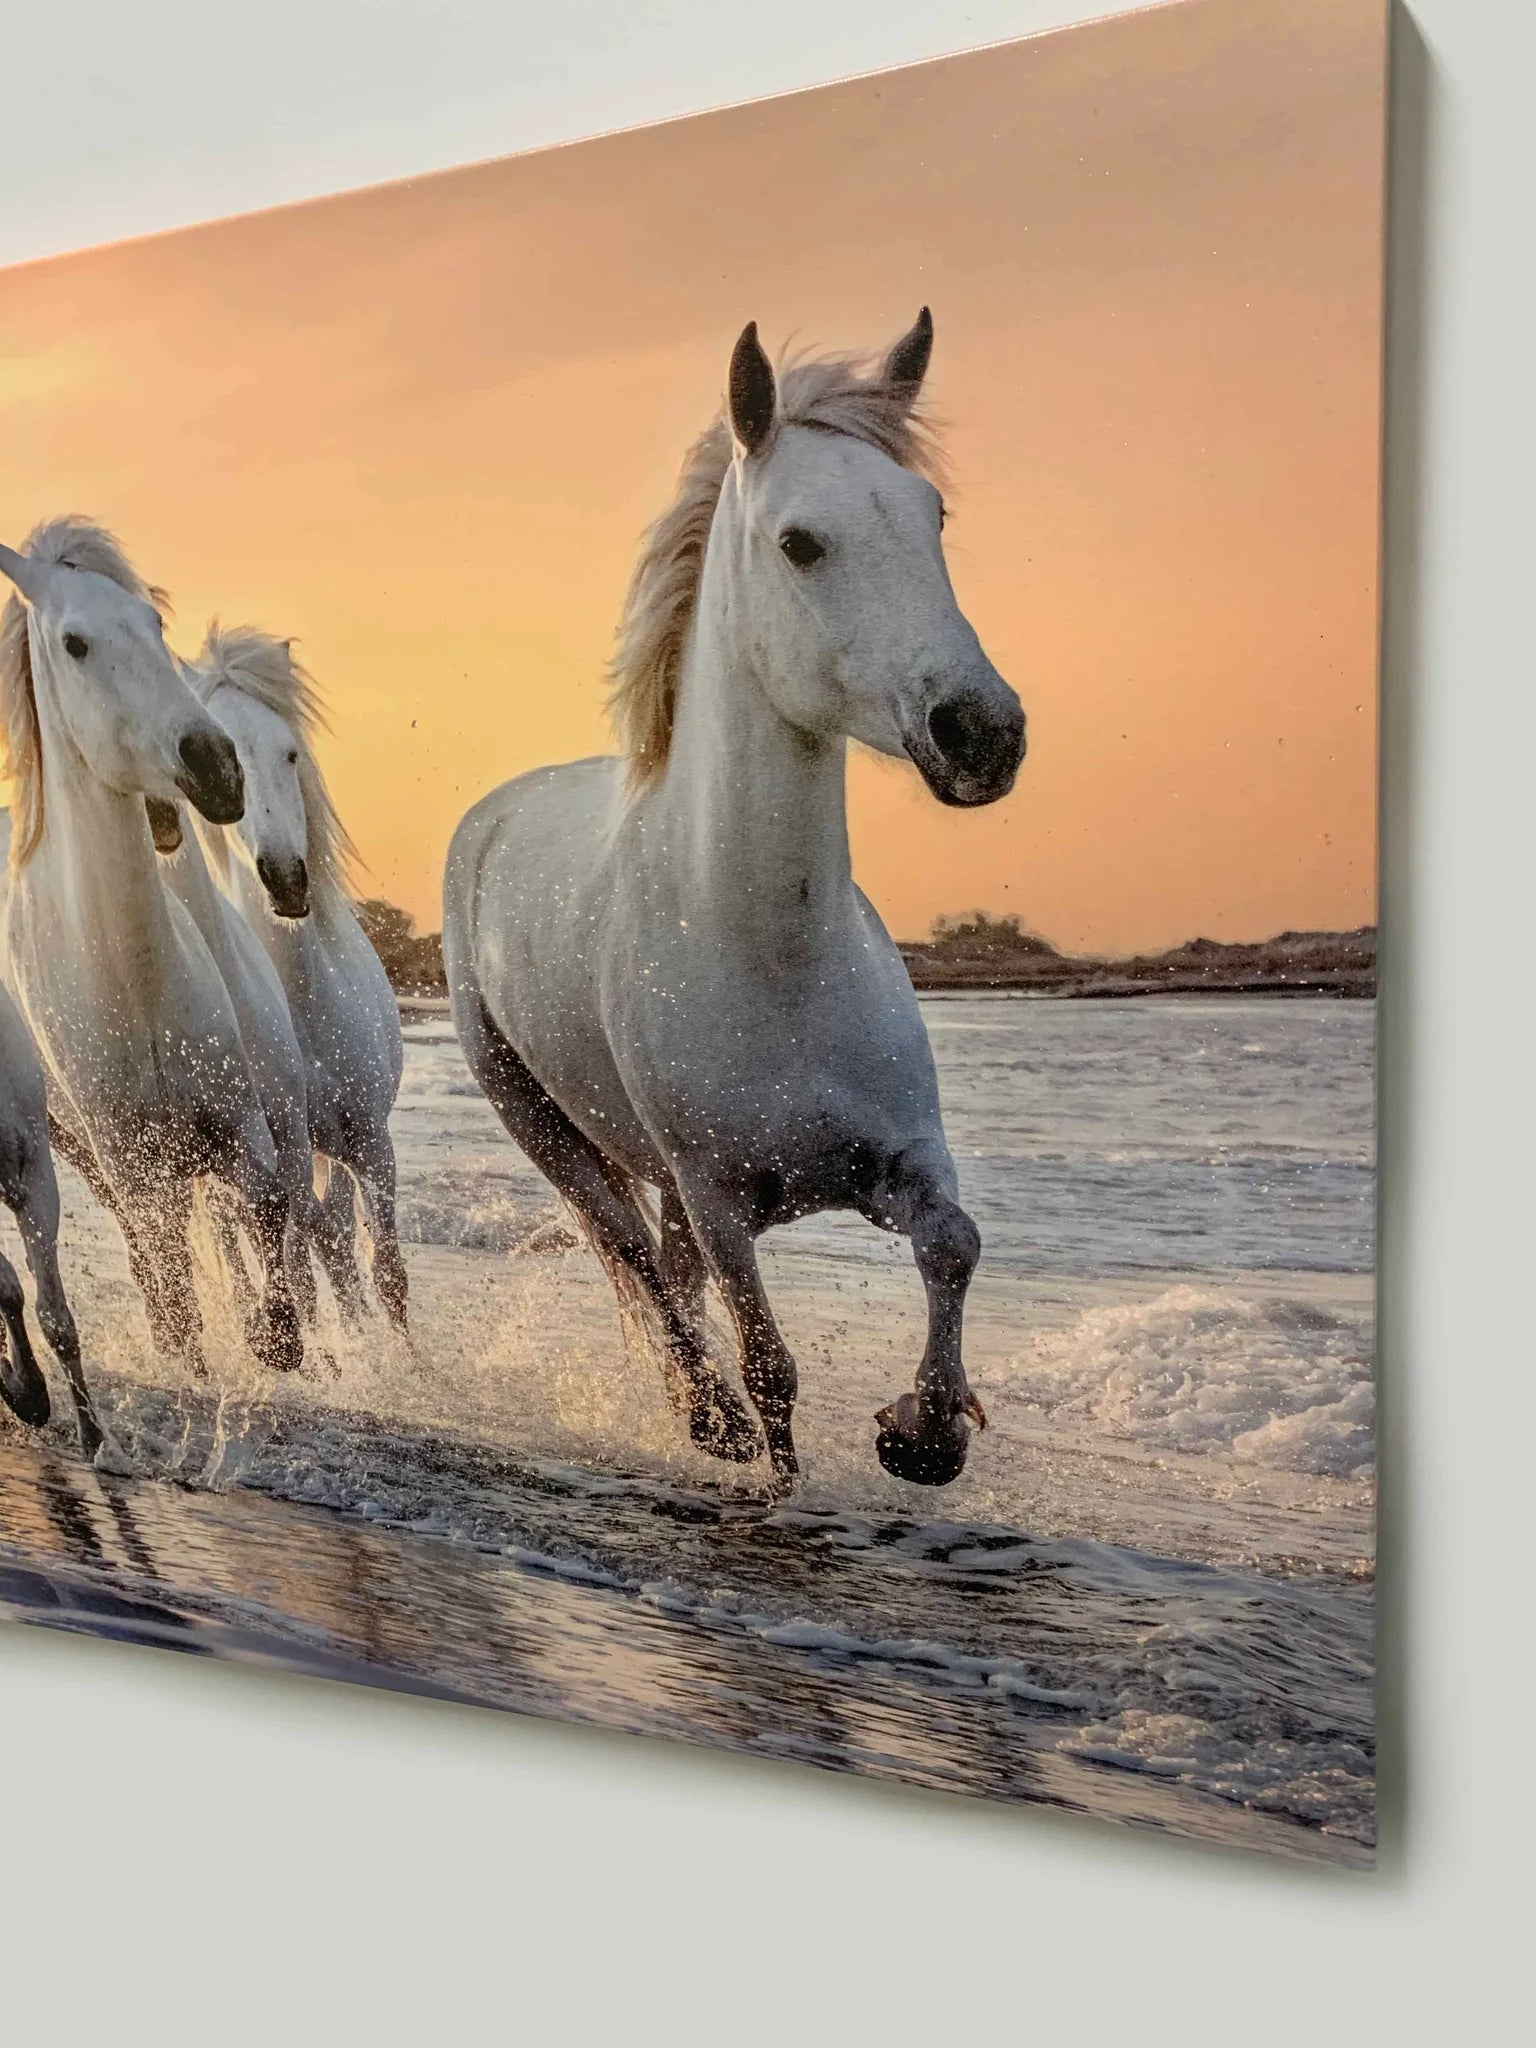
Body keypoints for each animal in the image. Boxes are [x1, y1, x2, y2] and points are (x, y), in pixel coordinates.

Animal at [0, 518, 304, 1379]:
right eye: (75, 643)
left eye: (154, 622)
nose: (217, 765)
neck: (135, 980)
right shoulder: (134, 1168)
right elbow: (174, 1292)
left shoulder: (242, 1126)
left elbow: (265, 1214)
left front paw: (276, 1338)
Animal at [185, 626, 406, 1327]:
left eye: (289, 754)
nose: (285, 878)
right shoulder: (280, 1161)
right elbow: (305, 1274)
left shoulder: (370, 1142)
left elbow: (386, 1273)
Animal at [443, 311, 1024, 1492]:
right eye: (800, 542)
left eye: (932, 514)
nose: (982, 731)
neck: (771, 951)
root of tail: (495, 812)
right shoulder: (719, 1197)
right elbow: (772, 1371)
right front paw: (770, 1461)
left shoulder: (901, 1160)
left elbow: (956, 1242)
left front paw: (924, 1430)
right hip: (539, 1119)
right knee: (631, 1256)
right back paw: (700, 1413)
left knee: (660, 1270)